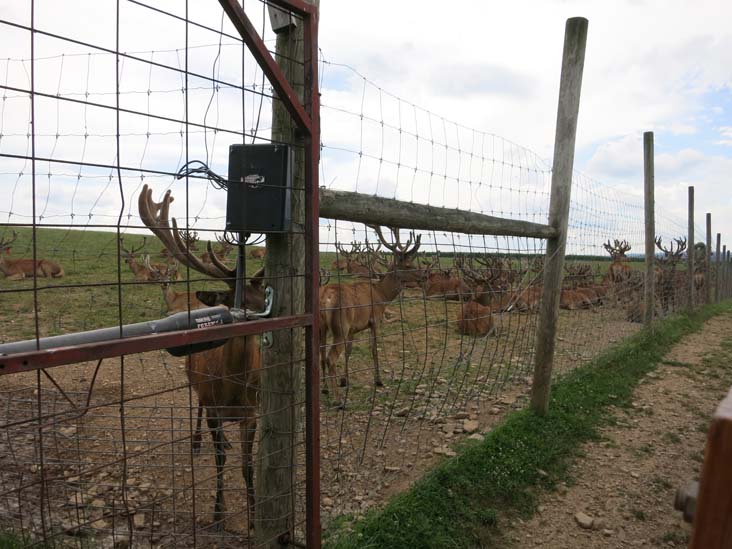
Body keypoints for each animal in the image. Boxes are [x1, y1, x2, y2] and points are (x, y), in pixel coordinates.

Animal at [138, 184, 266, 529]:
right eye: (238, 299)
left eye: (263, 295)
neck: (234, 387)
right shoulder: (215, 407)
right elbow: (221, 459)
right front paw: (219, 515)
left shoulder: (253, 412)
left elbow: (248, 465)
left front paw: (253, 517)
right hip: (196, 382)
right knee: (196, 405)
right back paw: (197, 442)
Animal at [319, 226, 424, 406]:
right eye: (408, 264)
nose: (424, 275)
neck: (382, 295)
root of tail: (327, 296)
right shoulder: (375, 320)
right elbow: (374, 349)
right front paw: (379, 380)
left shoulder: (353, 329)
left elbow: (349, 351)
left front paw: (344, 380)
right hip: (340, 326)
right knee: (330, 357)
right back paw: (338, 400)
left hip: (322, 327)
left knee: (320, 354)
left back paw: (325, 389)